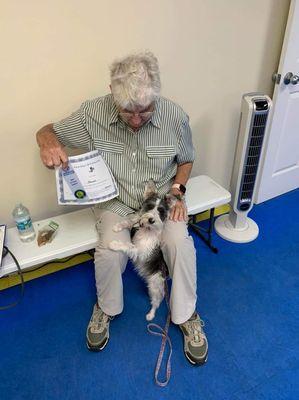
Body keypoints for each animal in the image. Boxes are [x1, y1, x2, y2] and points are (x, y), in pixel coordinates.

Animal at [109, 181, 176, 322]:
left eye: (161, 211)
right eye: (150, 206)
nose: (151, 220)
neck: (147, 229)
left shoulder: (141, 251)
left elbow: (128, 246)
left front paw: (115, 244)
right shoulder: (138, 220)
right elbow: (131, 221)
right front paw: (118, 226)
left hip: (155, 286)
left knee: (157, 302)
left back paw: (151, 315)